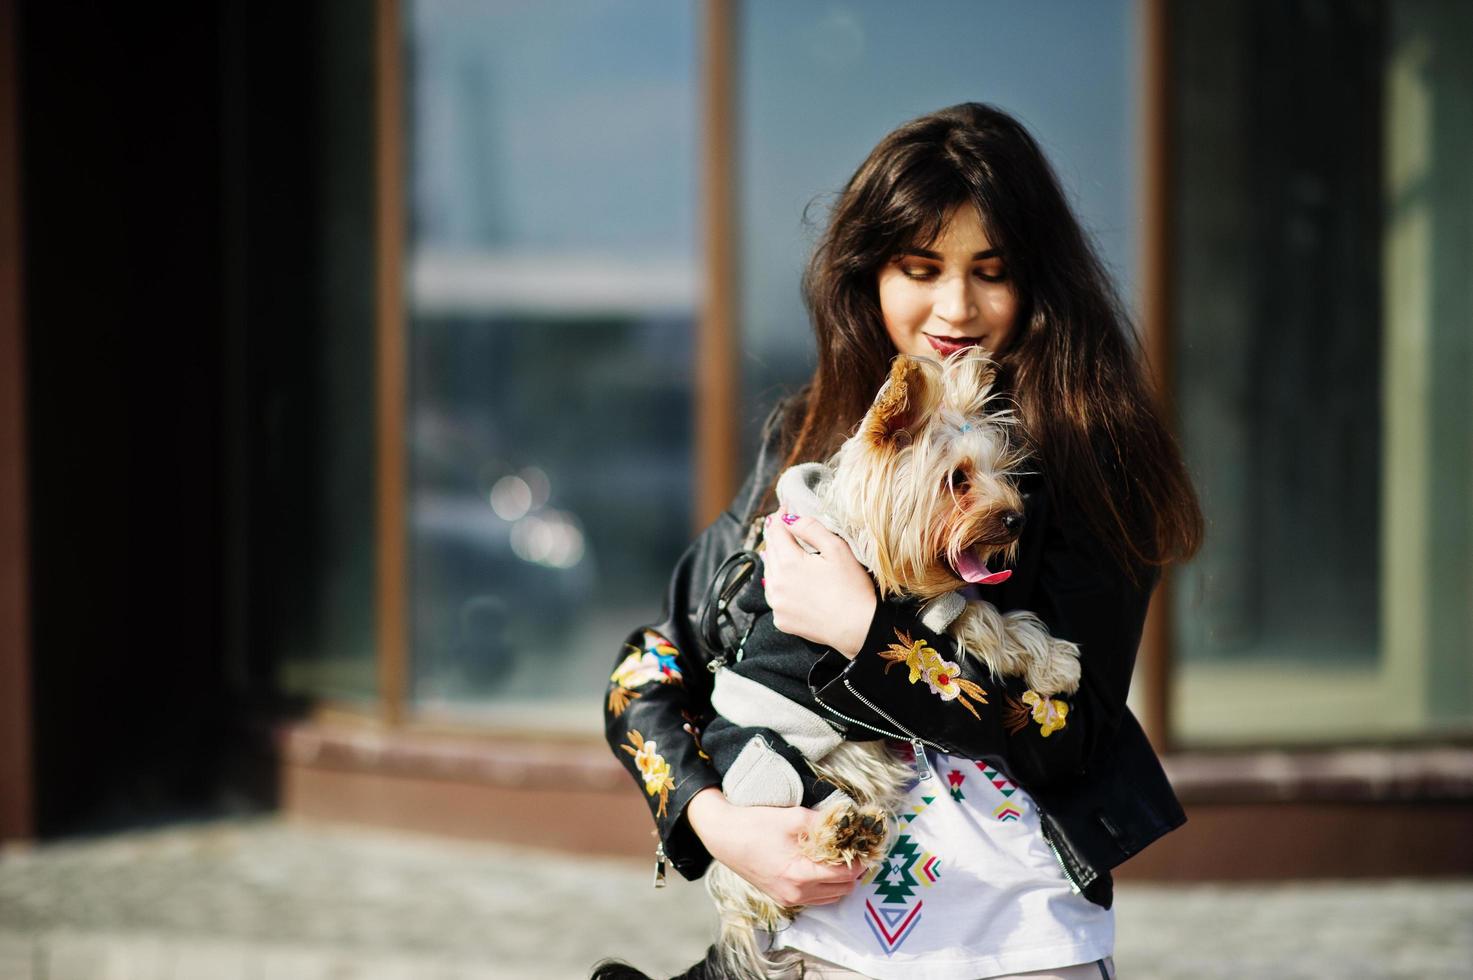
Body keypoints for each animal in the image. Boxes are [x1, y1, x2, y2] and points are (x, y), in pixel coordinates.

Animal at [701, 349, 1084, 978]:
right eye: (957, 480)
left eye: (1005, 473)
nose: (1017, 519)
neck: (853, 528)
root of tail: (729, 903)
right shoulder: (920, 606)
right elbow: (983, 617)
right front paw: (1056, 666)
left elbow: (994, 613)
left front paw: (1052, 662)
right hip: (775, 771)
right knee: (800, 825)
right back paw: (842, 833)